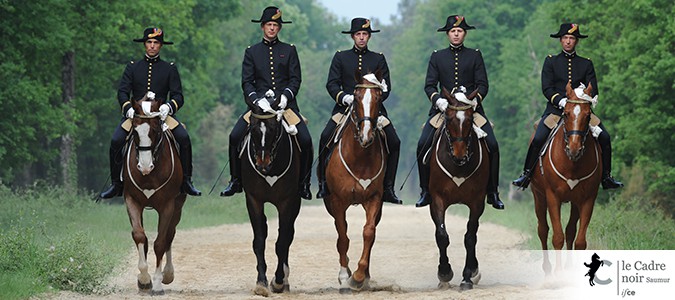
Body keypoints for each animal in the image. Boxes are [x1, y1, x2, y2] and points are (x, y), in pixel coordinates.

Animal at [123, 97, 186, 294]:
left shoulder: (168, 205)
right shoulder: (131, 200)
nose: (144, 166)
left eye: (156, 130)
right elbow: (139, 235)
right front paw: (144, 279)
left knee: (170, 235)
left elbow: (160, 242)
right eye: (135, 130)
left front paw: (157, 283)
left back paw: (168, 274)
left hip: (178, 206)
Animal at [324, 71, 388, 292]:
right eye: (357, 96)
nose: (366, 135)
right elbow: (343, 236)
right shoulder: (337, 201)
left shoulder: (374, 198)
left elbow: (369, 232)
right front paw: (345, 276)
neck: (360, 156)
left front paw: (359, 276)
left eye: (378, 97)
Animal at [430, 87, 488, 290]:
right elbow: (441, 235)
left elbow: (470, 237)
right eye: (448, 118)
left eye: (470, 119)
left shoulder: (477, 202)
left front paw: (467, 277)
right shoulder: (437, 199)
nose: (460, 155)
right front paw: (444, 273)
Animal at [528, 82, 604, 274]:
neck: (572, 163)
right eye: (566, 113)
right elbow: (557, 237)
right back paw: (548, 268)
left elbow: (579, 240)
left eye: (588, 115)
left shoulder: (587, 199)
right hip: (538, 196)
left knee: (570, 230)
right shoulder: (552, 197)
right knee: (543, 229)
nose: (574, 149)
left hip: (574, 201)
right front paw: (558, 273)